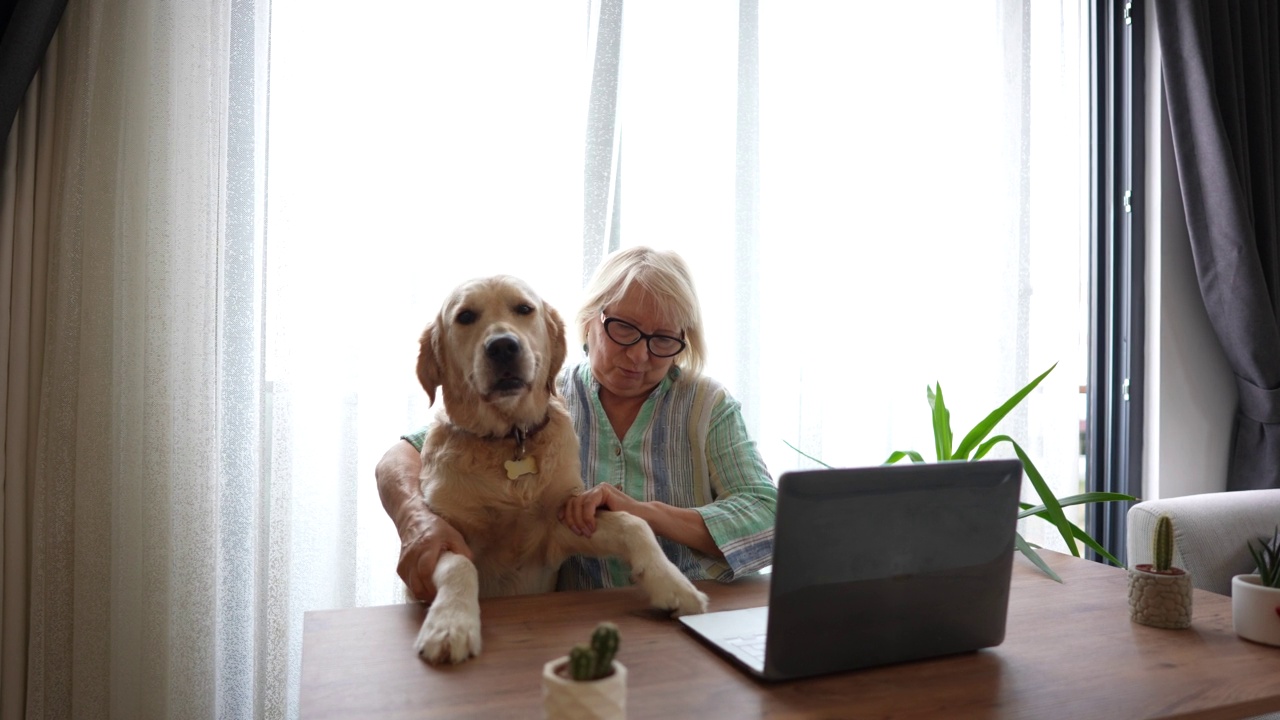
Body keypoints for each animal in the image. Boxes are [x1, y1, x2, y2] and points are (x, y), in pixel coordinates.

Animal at [412, 272, 706, 661]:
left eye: (524, 309)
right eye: (465, 317)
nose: (503, 346)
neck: (510, 438)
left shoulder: (562, 523)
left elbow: (634, 522)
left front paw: (675, 585)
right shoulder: (446, 534)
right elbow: (459, 565)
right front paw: (451, 624)